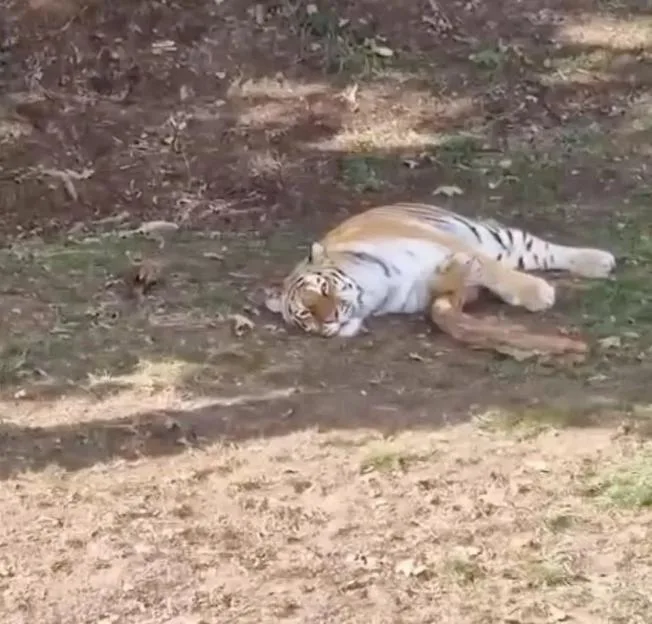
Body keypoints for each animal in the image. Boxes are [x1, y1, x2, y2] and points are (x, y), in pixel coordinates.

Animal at [264, 202, 617, 338]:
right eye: (305, 314)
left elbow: (491, 269)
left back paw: (601, 260)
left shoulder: (442, 240)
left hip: (493, 237)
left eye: (324, 290)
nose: (330, 320)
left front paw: (537, 293)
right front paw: (455, 269)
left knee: (541, 249)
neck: (374, 295)